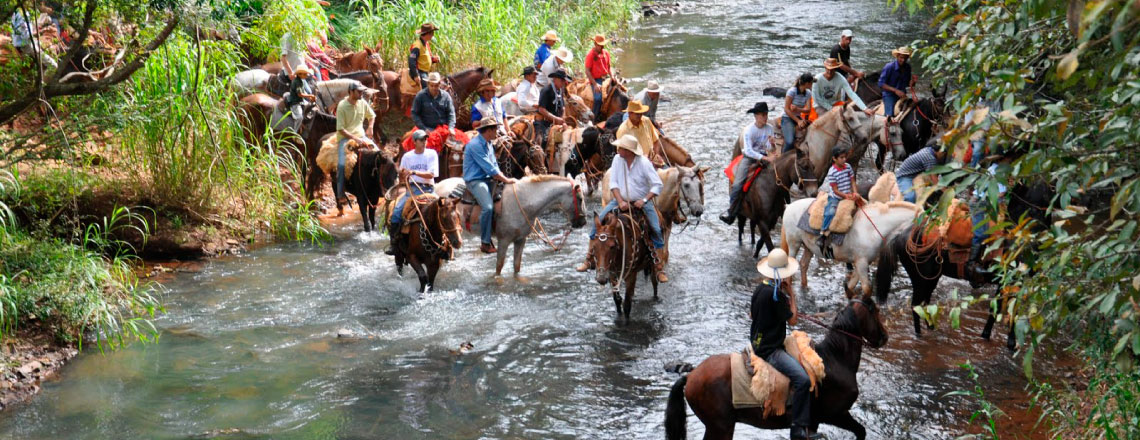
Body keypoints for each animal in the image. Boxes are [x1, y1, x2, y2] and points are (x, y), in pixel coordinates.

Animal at [661, 296, 889, 440]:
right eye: (876, 311)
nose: (884, 337)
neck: (835, 359)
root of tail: (691, 375)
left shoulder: (816, 422)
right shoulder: (835, 414)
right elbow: (860, 431)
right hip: (721, 427)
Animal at [779, 198, 921, 296]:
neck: (872, 228)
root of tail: (789, 206)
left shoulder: (862, 262)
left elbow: (852, 285)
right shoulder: (862, 262)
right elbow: (866, 288)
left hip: (808, 247)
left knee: (803, 264)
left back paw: (805, 287)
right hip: (794, 244)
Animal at [870, 180, 1048, 348]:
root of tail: (902, 233)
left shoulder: (1010, 284)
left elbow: (1002, 310)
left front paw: (995, 337)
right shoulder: (1009, 282)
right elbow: (1004, 311)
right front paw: (1007, 342)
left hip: (931, 278)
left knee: (925, 303)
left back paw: (932, 328)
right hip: (920, 278)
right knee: (916, 305)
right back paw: (919, 335)